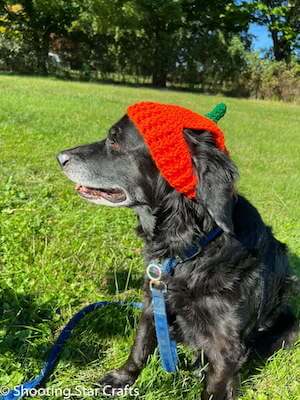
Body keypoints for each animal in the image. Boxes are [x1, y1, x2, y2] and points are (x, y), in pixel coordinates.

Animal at [56, 104, 298, 400]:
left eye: (114, 139)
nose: (60, 157)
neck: (191, 248)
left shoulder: (226, 347)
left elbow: (214, 388)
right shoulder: (153, 301)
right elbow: (139, 348)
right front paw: (122, 379)